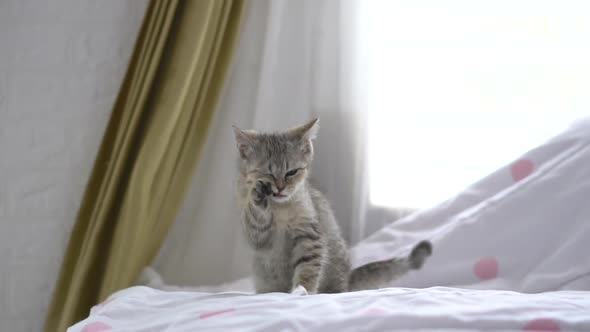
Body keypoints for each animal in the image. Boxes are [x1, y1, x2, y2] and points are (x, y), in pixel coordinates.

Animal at [234, 118, 432, 294]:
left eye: (292, 172)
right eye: (267, 173)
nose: (280, 188)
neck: (281, 208)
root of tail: (348, 278)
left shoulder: (310, 234)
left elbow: (308, 268)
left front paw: (301, 291)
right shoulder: (259, 237)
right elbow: (257, 221)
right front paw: (258, 195)